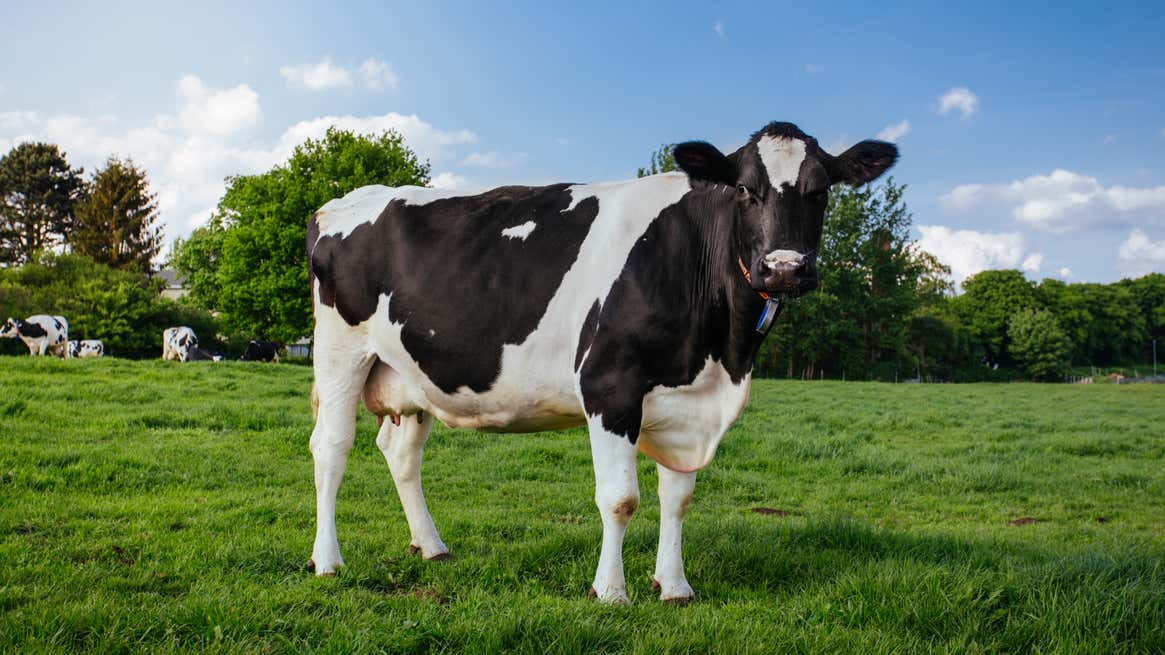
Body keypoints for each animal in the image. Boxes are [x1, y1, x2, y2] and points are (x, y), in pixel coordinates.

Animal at [305, 121, 897, 603]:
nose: (784, 268)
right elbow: (620, 499)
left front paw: (675, 587)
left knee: (400, 453)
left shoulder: (685, 400)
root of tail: (343, 201)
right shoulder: (609, 385)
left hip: (412, 373)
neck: (721, 356)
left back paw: (431, 545)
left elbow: (678, 498)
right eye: (746, 189)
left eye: (821, 191)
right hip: (339, 352)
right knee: (332, 446)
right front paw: (611, 592)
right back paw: (328, 560)